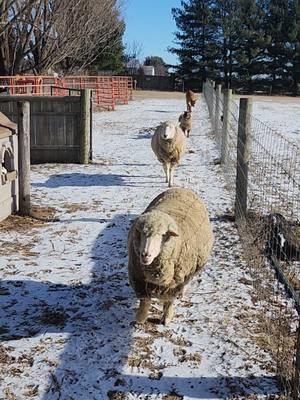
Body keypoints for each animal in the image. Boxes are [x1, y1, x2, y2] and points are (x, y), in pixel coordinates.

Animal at [127, 188, 214, 324]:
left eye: (162, 235)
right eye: (140, 233)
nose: (145, 254)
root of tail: (181, 188)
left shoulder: (175, 283)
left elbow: (169, 301)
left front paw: (167, 317)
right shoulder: (139, 279)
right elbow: (145, 301)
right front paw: (140, 317)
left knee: (186, 283)